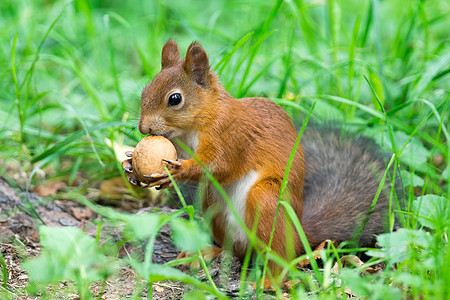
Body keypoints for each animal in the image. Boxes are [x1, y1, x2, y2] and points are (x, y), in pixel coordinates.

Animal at [122, 40, 398, 282]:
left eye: (175, 99)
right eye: (145, 90)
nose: (144, 128)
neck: (198, 122)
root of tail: (299, 235)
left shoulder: (232, 136)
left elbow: (220, 165)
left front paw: (176, 170)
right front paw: (131, 165)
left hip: (267, 202)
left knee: (279, 258)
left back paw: (267, 282)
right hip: (212, 204)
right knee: (234, 250)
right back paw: (206, 253)